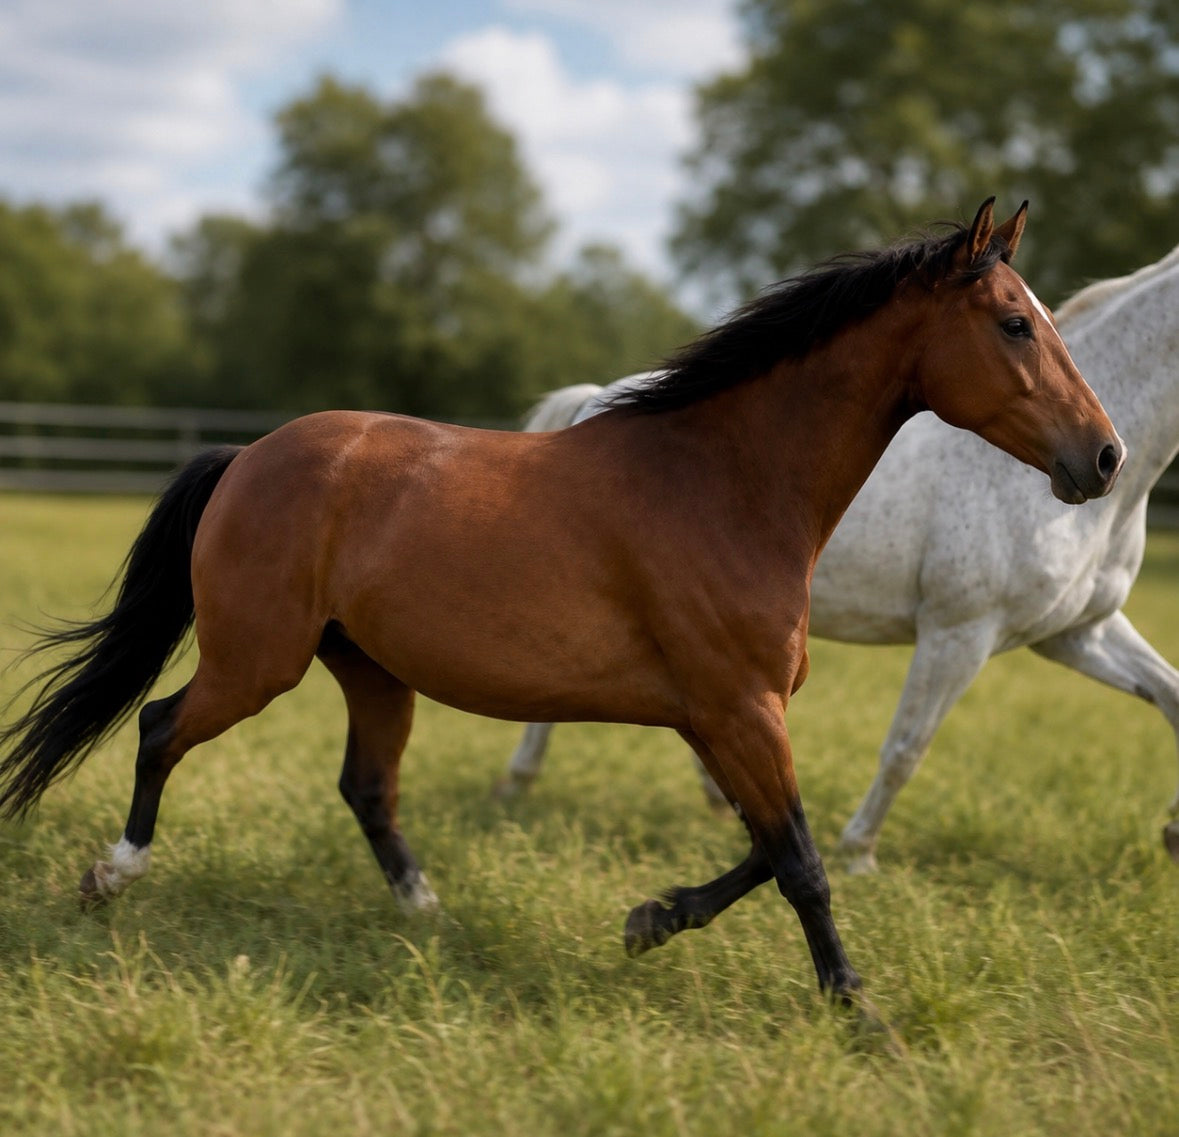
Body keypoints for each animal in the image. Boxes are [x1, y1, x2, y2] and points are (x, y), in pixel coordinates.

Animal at [497, 238, 1179, 869]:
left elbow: (1169, 694)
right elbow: (906, 748)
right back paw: (519, 785)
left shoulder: (1073, 633)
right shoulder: (959, 633)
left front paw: (1172, 831)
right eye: (1017, 325)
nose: (1104, 459)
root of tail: (591, 403)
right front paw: (859, 853)